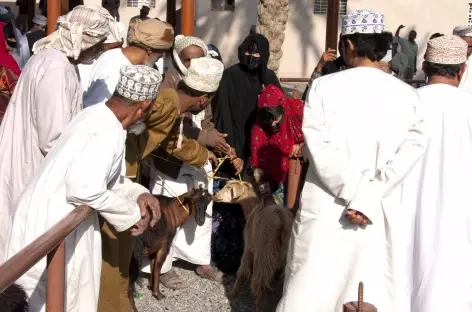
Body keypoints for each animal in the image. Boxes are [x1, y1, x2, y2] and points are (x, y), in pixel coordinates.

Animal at [213, 176, 294, 312]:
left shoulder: (249, 247)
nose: (214, 195)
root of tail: (281, 219)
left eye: (229, 188)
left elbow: (243, 271)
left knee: (260, 286)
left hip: (264, 255)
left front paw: (232, 293)